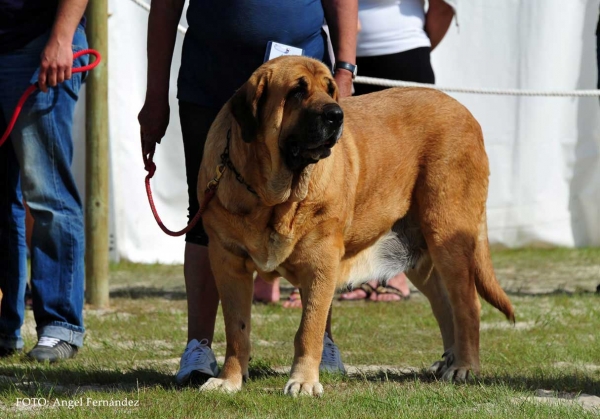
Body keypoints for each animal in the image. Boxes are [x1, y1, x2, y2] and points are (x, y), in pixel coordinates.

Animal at [198, 55, 516, 398]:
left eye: (330, 89)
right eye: (297, 91)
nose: (336, 115)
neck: (273, 197)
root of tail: (467, 113)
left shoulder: (321, 263)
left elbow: (309, 329)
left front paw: (303, 382)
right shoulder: (228, 262)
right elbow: (236, 328)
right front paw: (229, 379)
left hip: (449, 238)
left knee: (467, 305)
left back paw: (463, 367)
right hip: (422, 257)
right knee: (446, 306)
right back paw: (449, 362)